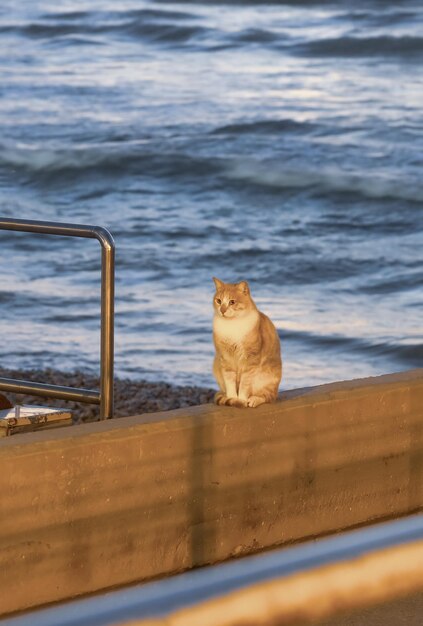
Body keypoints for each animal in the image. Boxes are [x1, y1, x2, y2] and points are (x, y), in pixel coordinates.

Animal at [211, 276, 282, 404]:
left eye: (232, 302)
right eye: (218, 301)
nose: (222, 310)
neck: (231, 325)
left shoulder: (251, 358)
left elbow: (245, 383)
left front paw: (242, 399)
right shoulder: (225, 358)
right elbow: (230, 381)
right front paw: (232, 398)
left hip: (268, 378)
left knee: (268, 396)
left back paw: (254, 400)